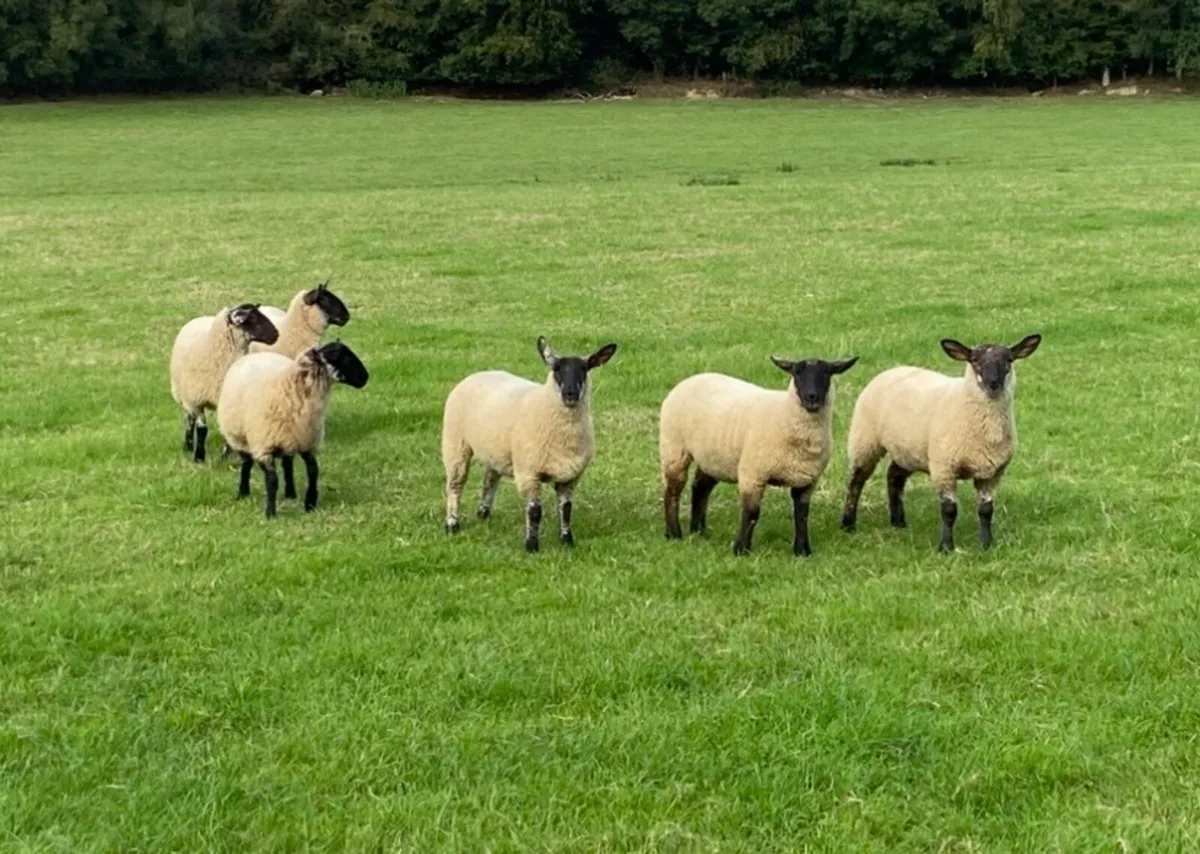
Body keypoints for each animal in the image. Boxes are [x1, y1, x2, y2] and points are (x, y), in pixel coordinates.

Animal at [169, 303, 278, 462]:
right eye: (252, 317)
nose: (276, 334)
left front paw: (226, 454)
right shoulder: (197, 400)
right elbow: (202, 429)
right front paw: (199, 457)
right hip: (186, 395)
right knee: (189, 419)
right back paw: (188, 446)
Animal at [217, 341, 369, 518]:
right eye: (345, 358)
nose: (365, 378)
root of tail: (255, 354)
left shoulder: (307, 441)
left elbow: (313, 471)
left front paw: (310, 503)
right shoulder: (264, 446)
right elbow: (272, 480)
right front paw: (270, 512)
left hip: (289, 439)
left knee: (287, 464)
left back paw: (290, 492)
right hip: (240, 438)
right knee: (246, 464)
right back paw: (243, 492)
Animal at [441, 337, 618, 552]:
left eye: (584, 368)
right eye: (556, 368)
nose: (570, 394)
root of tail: (479, 373)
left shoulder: (571, 476)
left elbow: (566, 508)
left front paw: (567, 540)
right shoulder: (528, 472)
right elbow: (534, 511)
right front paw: (532, 545)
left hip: (495, 449)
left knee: (490, 478)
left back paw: (484, 513)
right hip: (455, 443)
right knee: (455, 485)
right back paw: (452, 524)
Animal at [659, 355, 858, 556]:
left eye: (827, 373)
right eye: (797, 373)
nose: (812, 397)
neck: (784, 413)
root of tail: (690, 379)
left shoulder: (807, 480)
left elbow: (801, 515)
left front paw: (802, 551)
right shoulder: (753, 474)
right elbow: (752, 513)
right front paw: (741, 549)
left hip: (713, 456)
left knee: (700, 488)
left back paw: (699, 531)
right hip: (674, 449)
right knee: (672, 491)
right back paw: (674, 534)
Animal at [840, 334, 1042, 552]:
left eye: (1009, 360)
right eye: (975, 360)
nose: (993, 384)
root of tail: (893, 369)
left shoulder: (992, 474)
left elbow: (986, 510)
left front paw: (987, 544)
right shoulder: (944, 468)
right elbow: (949, 511)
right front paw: (946, 547)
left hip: (908, 450)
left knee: (894, 476)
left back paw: (898, 522)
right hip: (864, 440)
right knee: (856, 482)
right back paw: (848, 524)